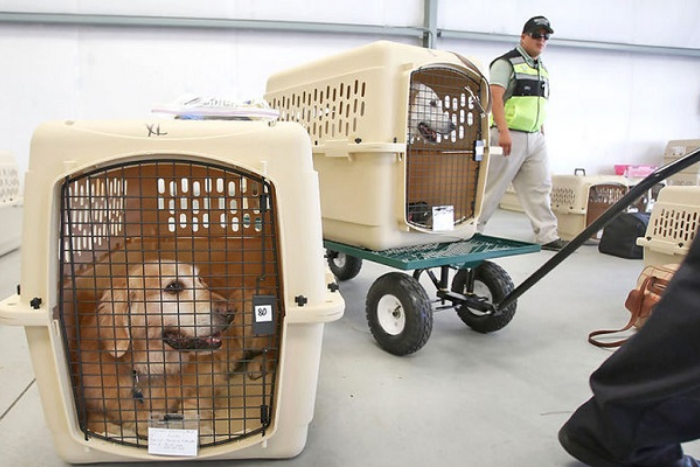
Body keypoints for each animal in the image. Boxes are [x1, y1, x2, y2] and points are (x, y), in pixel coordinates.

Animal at [78, 260, 234, 438]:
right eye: (173, 287)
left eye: (199, 280)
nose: (231, 312)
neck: (154, 367)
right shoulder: (93, 411)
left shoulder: (210, 383)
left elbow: (191, 407)